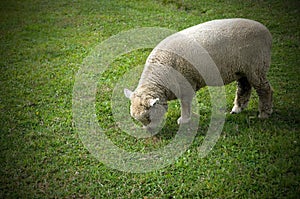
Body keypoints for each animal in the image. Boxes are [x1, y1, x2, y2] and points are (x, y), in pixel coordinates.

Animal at [123, 18, 274, 131]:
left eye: (149, 117)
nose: (150, 132)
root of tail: (266, 31)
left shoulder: (186, 84)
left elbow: (185, 104)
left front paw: (184, 120)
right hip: (243, 69)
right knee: (244, 88)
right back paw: (237, 109)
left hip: (257, 66)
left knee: (265, 90)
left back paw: (264, 114)